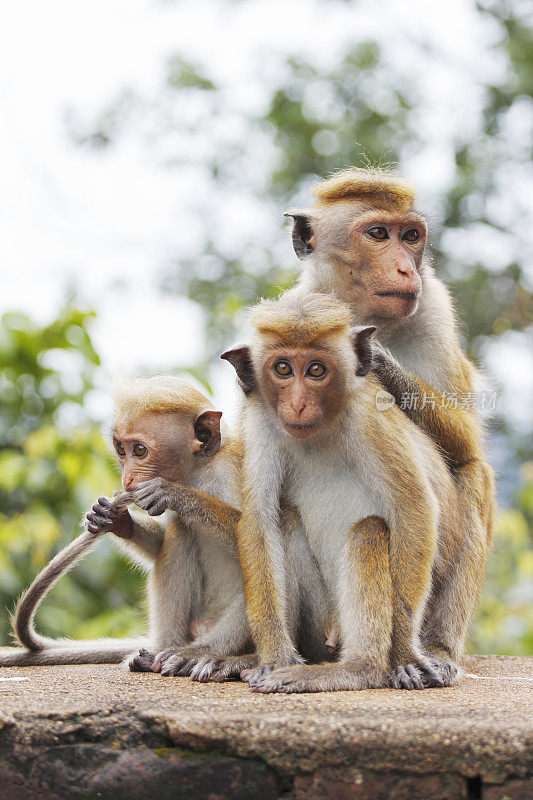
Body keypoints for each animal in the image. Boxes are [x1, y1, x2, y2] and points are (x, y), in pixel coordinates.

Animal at [220, 290, 458, 692]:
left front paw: (405, 654)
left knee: (369, 531)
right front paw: (274, 657)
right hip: (320, 619)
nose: (298, 404)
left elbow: (413, 507)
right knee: (284, 519)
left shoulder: (370, 416)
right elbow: (259, 520)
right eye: (282, 369)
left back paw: (359, 668)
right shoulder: (260, 420)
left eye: (316, 370)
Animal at [286, 170, 494, 676]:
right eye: (378, 234)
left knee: (473, 472)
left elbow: (466, 441)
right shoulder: (292, 306)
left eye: (411, 236)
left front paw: (374, 359)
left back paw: (437, 649)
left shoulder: (434, 307)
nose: (406, 270)